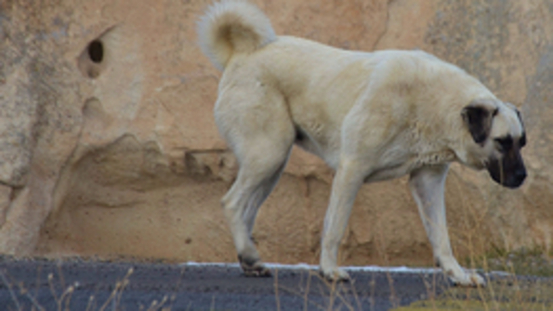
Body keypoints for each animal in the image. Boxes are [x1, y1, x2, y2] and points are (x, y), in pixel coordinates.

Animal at [196, 0, 524, 288]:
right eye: (502, 141)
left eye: (522, 142)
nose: (522, 177)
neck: (434, 103)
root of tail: (242, 54)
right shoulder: (351, 169)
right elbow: (335, 227)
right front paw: (330, 271)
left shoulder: (428, 182)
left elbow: (441, 237)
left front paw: (458, 275)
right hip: (268, 154)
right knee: (232, 202)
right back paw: (249, 255)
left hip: (272, 164)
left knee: (247, 209)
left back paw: (249, 260)